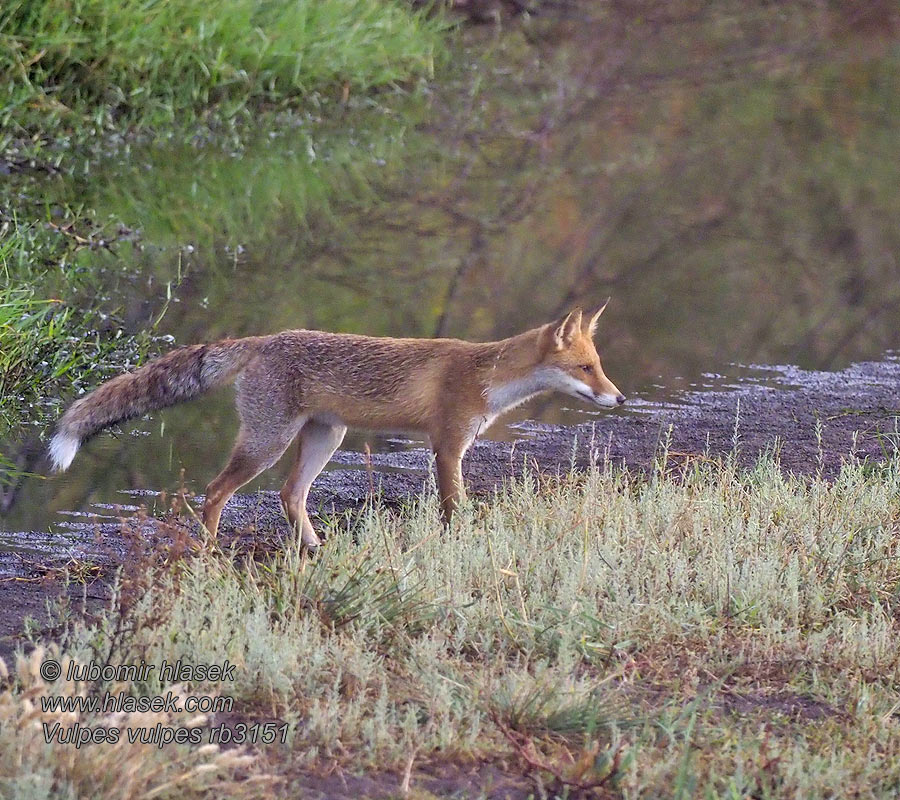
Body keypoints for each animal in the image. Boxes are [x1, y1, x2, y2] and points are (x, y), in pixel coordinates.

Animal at [51, 304, 624, 548]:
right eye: (585, 368)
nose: (619, 398)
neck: (487, 377)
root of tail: (264, 338)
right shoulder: (447, 447)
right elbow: (454, 510)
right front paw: (462, 545)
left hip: (326, 438)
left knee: (289, 494)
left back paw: (315, 550)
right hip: (269, 441)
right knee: (213, 492)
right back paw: (210, 554)